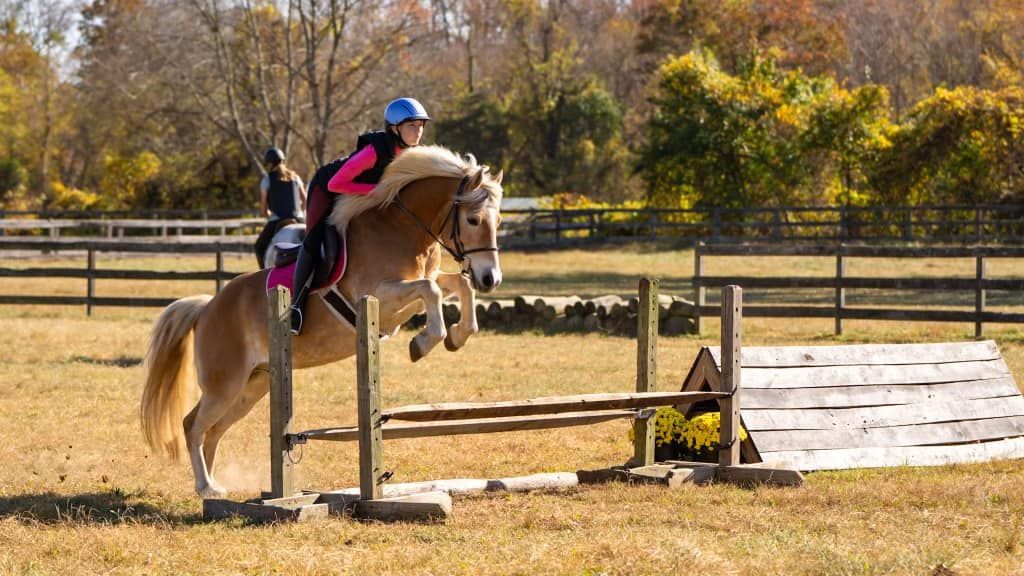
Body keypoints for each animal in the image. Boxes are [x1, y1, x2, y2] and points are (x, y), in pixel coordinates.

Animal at [140, 146, 503, 499]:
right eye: (473, 219)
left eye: (498, 220)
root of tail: (207, 308)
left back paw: (212, 486)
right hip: (225, 384)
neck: (403, 229)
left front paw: (458, 335)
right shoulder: (380, 295)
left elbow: (458, 286)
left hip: (252, 385)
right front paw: (424, 342)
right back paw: (205, 486)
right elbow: (431, 290)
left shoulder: (417, 287)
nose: (491, 279)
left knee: (213, 430)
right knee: (193, 425)